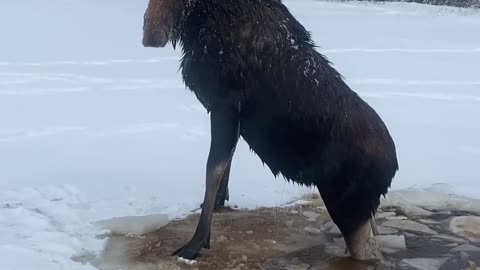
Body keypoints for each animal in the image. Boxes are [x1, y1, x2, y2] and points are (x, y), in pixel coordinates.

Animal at [142, 0, 398, 262]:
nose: (152, 36)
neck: (198, 23)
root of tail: (394, 165)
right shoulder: (228, 113)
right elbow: (225, 166)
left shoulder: (226, 103)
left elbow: (213, 169)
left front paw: (196, 243)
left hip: (349, 207)